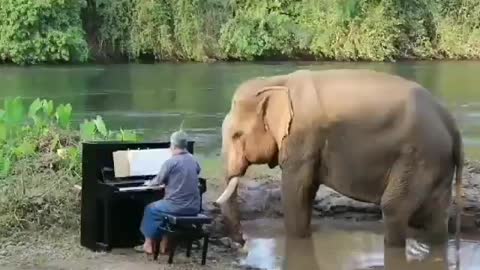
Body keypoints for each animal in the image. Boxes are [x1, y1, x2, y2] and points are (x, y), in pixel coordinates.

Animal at [216, 68, 464, 248]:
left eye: (236, 135)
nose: (241, 242)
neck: (277, 81)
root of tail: (451, 123)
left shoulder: (302, 137)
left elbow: (296, 191)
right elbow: (307, 191)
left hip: (418, 157)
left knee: (394, 208)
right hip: (436, 162)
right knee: (435, 215)